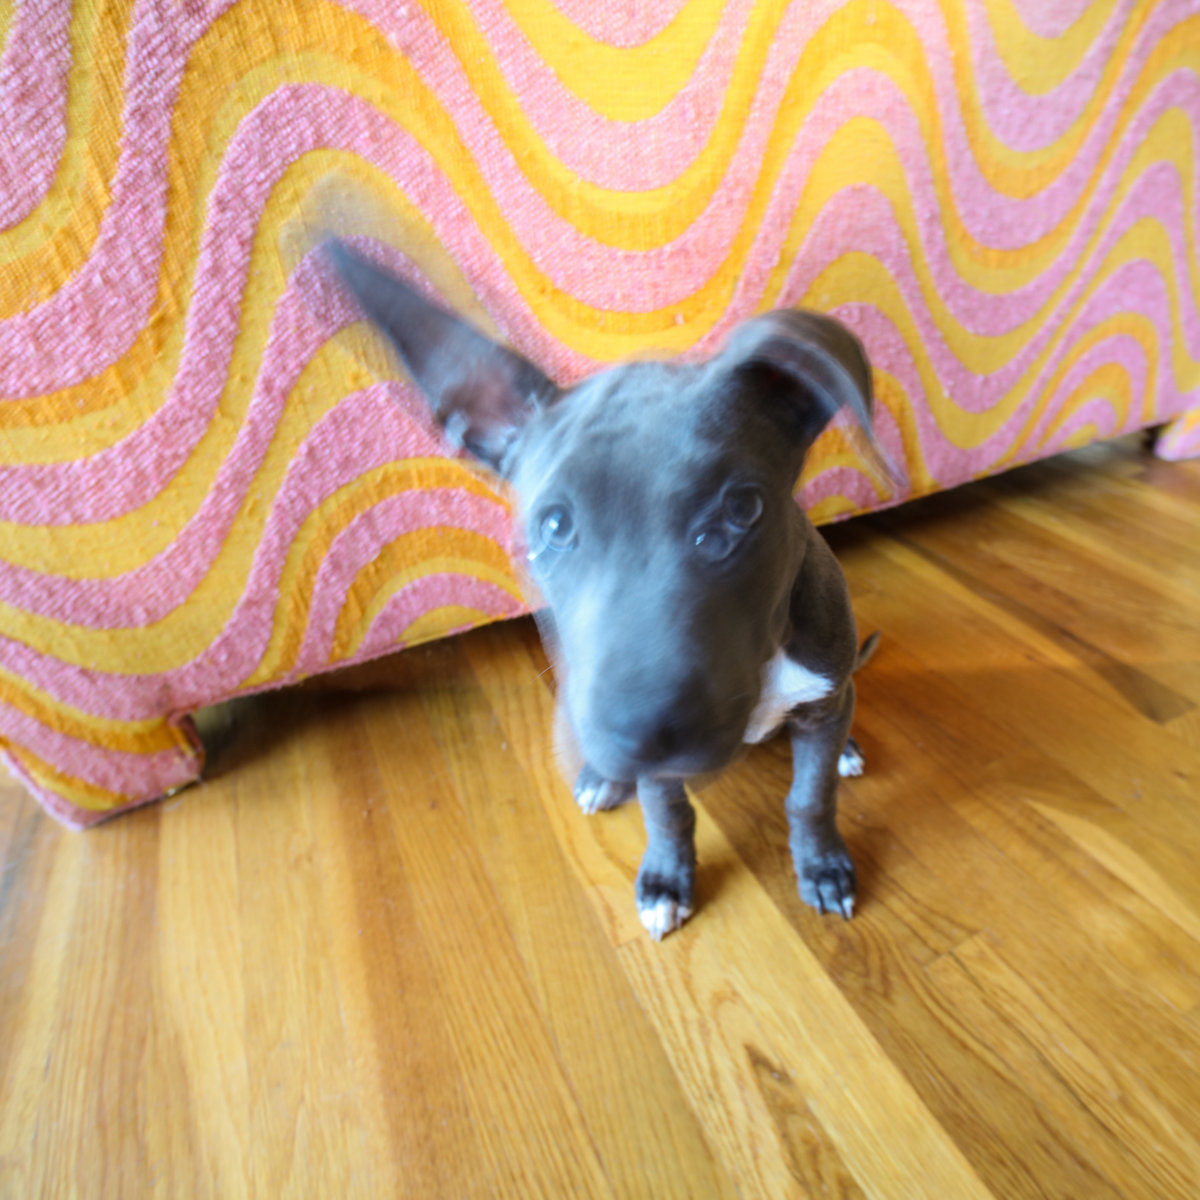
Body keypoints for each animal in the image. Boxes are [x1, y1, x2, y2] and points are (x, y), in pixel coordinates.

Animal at [325, 238, 883, 940]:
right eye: (554, 526)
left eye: (742, 509)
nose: (640, 731)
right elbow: (668, 812)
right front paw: (666, 879)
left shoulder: (821, 694)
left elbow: (810, 796)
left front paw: (823, 866)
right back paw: (601, 778)